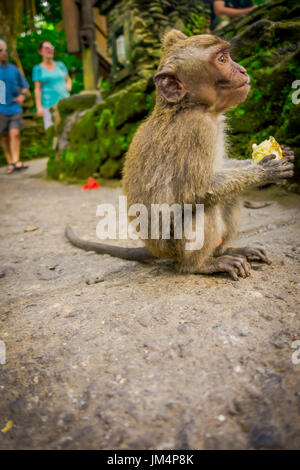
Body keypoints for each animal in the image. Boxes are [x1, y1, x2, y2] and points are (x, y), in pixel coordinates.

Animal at [65, 29, 292, 280]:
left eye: (228, 56)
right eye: (222, 59)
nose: (242, 70)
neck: (187, 106)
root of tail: (158, 251)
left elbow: (220, 171)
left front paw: (283, 155)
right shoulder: (196, 129)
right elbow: (197, 189)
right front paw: (264, 172)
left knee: (229, 196)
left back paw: (226, 250)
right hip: (176, 246)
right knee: (206, 206)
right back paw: (201, 265)